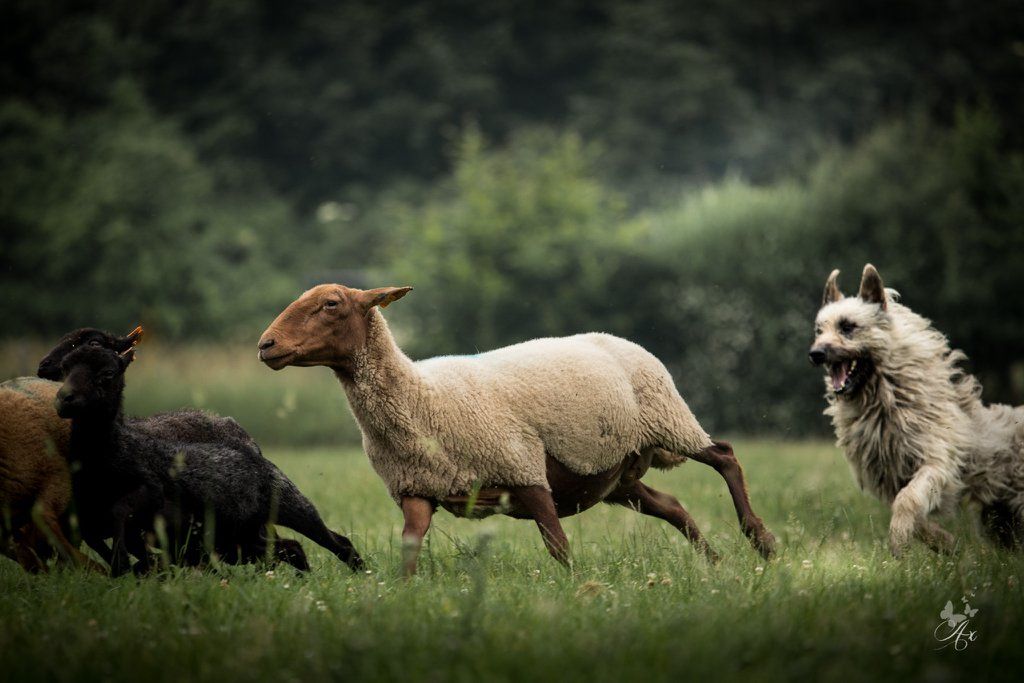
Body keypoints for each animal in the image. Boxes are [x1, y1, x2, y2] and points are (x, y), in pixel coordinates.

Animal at [57, 344, 364, 573]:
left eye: (108, 373)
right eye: (64, 369)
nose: (64, 399)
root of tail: (244, 439)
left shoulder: (145, 497)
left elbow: (123, 522)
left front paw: (128, 565)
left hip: (289, 506)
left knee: (334, 542)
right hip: (244, 534)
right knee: (288, 549)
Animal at [806, 264, 1024, 557]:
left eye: (848, 326)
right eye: (819, 330)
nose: (815, 354)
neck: (886, 396)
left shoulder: (935, 461)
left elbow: (907, 500)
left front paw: (899, 539)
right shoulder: (888, 480)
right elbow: (914, 514)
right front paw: (945, 542)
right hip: (998, 519)